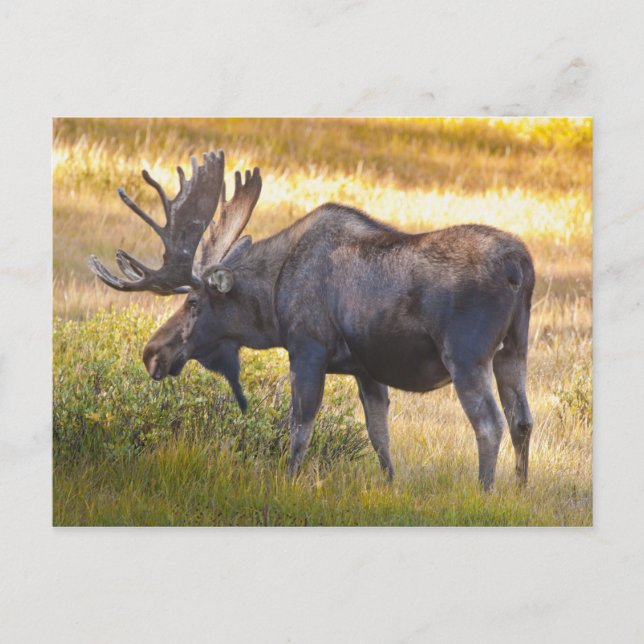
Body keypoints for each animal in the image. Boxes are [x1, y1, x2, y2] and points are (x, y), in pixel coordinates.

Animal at [89, 150, 535, 490]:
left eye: (195, 302)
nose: (152, 352)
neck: (272, 302)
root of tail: (522, 266)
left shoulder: (307, 349)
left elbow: (299, 428)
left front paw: (288, 481)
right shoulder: (366, 369)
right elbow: (379, 436)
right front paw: (390, 485)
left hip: (466, 355)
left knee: (490, 423)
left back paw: (485, 491)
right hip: (513, 349)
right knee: (522, 420)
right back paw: (519, 489)